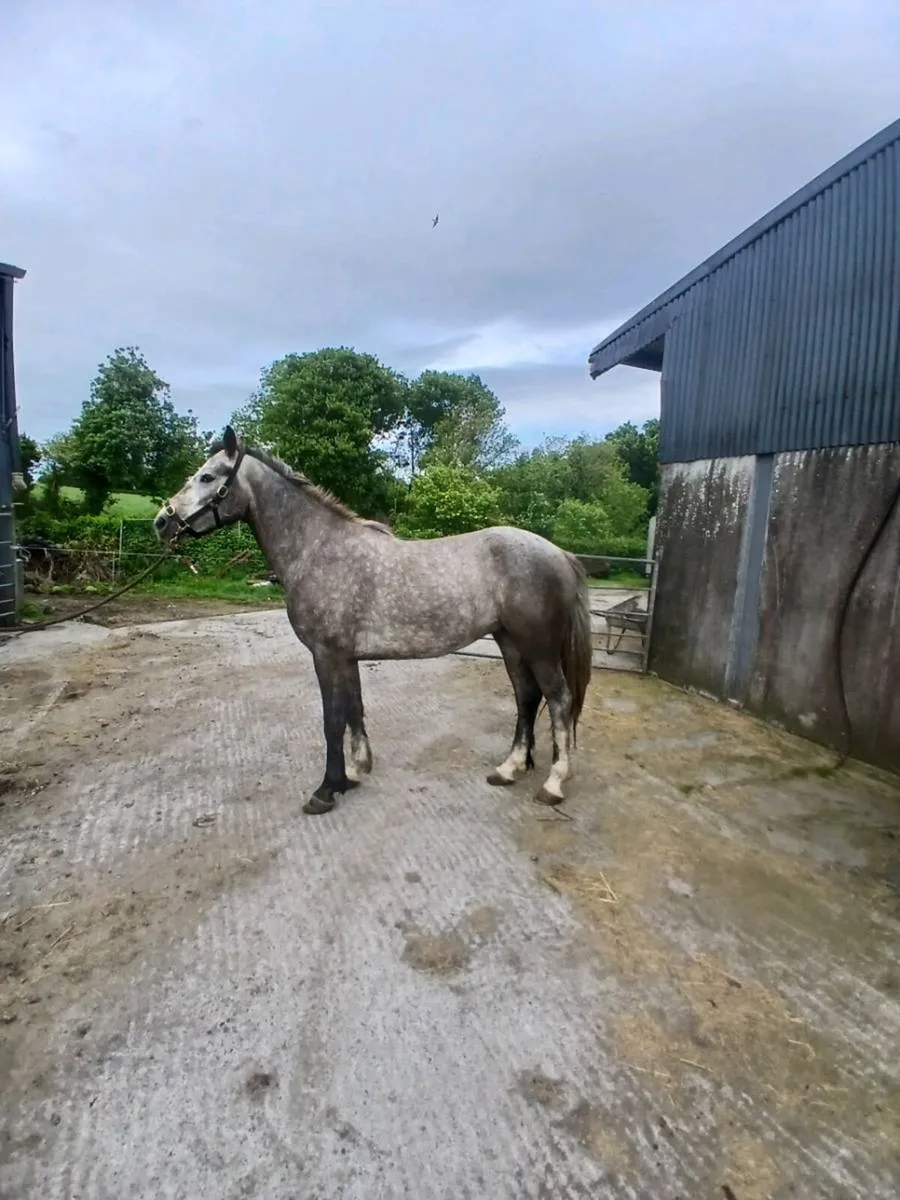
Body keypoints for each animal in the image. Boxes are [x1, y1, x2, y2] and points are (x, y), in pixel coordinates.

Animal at [154, 426, 592, 815]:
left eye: (207, 476)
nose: (162, 521)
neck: (318, 550)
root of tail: (559, 553)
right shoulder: (346, 656)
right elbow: (354, 709)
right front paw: (354, 772)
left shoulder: (326, 654)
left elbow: (332, 720)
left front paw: (325, 791)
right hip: (510, 643)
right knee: (526, 697)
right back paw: (509, 768)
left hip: (538, 648)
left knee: (558, 700)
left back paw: (554, 784)